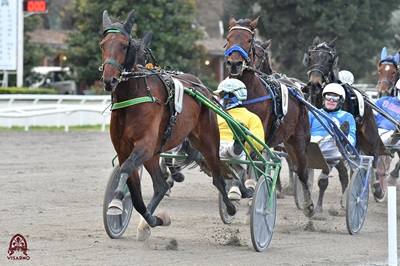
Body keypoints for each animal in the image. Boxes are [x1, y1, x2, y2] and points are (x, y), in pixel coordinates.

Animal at [101, 9, 238, 240]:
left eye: (124, 45)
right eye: (102, 44)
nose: (108, 80)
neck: (134, 95)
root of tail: (201, 87)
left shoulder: (144, 145)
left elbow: (127, 167)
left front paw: (117, 200)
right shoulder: (124, 149)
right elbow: (135, 193)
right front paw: (151, 218)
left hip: (207, 141)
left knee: (218, 178)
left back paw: (231, 206)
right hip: (155, 154)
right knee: (160, 185)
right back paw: (151, 221)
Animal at [225, 16, 316, 217]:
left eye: (248, 40)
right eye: (228, 38)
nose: (234, 63)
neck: (246, 95)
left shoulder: (260, 135)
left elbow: (254, 160)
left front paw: (253, 192)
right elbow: (238, 158)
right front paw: (235, 190)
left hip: (299, 139)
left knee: (302, 170)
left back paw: (308, 205)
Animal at [304, 35, 390, 206]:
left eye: (329, 60)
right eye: (311, 56)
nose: (315, 83)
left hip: (369, 135)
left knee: (374, 155)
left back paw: (377, 187)